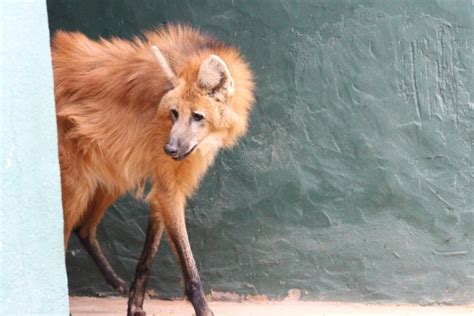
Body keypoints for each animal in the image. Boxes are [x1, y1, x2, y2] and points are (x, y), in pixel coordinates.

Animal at [51, 25, 256, 316]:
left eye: (197, 116)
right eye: (174, 113)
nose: (169, 149)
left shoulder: (163, 186)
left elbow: (147, 257)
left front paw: (134, 305)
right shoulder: (170, 188)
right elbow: (189, 266)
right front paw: (204, 310)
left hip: (112, 175)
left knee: (84, 229)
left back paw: (116, 282)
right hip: (77, 185)